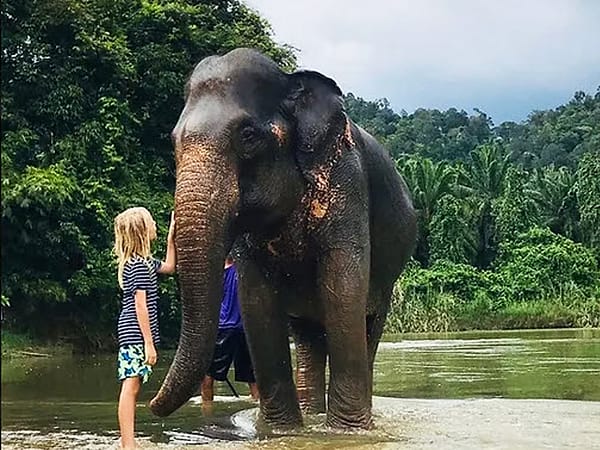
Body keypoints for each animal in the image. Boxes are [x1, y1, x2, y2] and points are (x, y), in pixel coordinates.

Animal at [149, 46, 418, 428]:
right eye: (173, 141)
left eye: (247, 136)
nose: (150, 403)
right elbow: (256, 298)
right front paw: (280, 430)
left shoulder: (347, 180)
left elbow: (344, 286)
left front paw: (347, 431)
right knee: (308, 336)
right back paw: (311, 413)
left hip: (389, 277)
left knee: (368, 326)